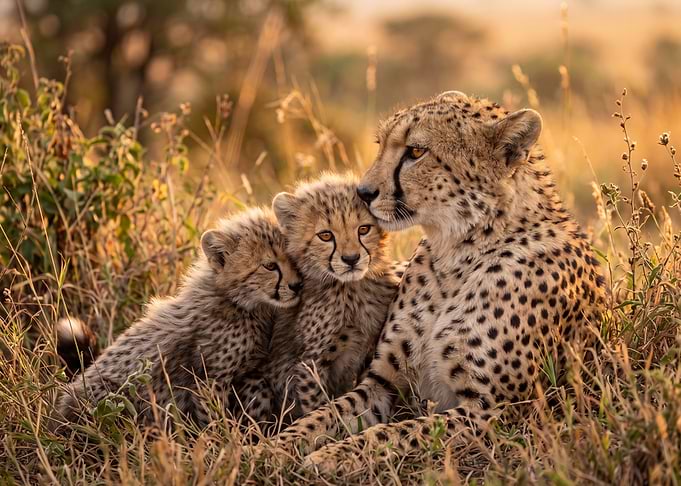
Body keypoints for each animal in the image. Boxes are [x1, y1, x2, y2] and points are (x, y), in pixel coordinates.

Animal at [50, 207, 302, 432]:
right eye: (270, 266)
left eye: (293, 258)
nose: (297, 285)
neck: (237, 301)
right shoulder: (209, 378)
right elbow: (214, 417)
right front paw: (223, 442)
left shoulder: (249, 372)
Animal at [232, 173, 404, 430]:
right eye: (326, 235)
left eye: (364, 229)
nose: (351, 259)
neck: (349, 291)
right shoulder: (311, 363)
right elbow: (319, 404)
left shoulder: (368, 350)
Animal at [263, 91, 608, 472]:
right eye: (381, 144)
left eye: (416, 152)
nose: (363, 192)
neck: (455, 254)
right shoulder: (383, 383)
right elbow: (322, 416)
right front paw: (268, 449)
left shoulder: (494, 412)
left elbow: (396, 433)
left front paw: (330, 455)